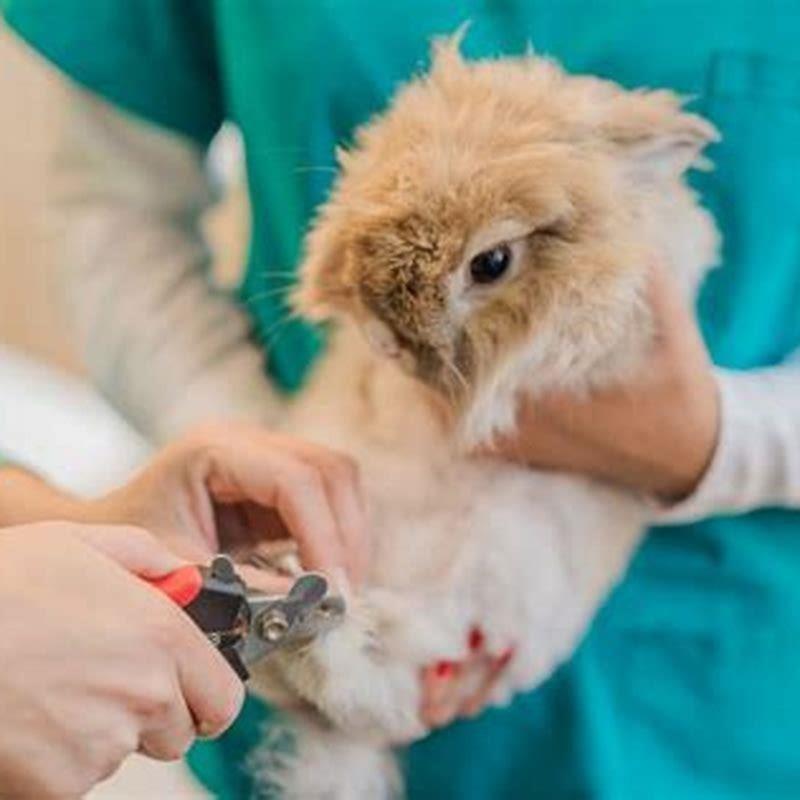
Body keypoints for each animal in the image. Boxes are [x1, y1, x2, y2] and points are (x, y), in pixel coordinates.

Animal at [248, 32, 720, 800]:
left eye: (491, 262)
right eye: (380, 175)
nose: (382, 336)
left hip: (477, 600)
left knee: (372, 690)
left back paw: (314, 621)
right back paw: (283, 578)